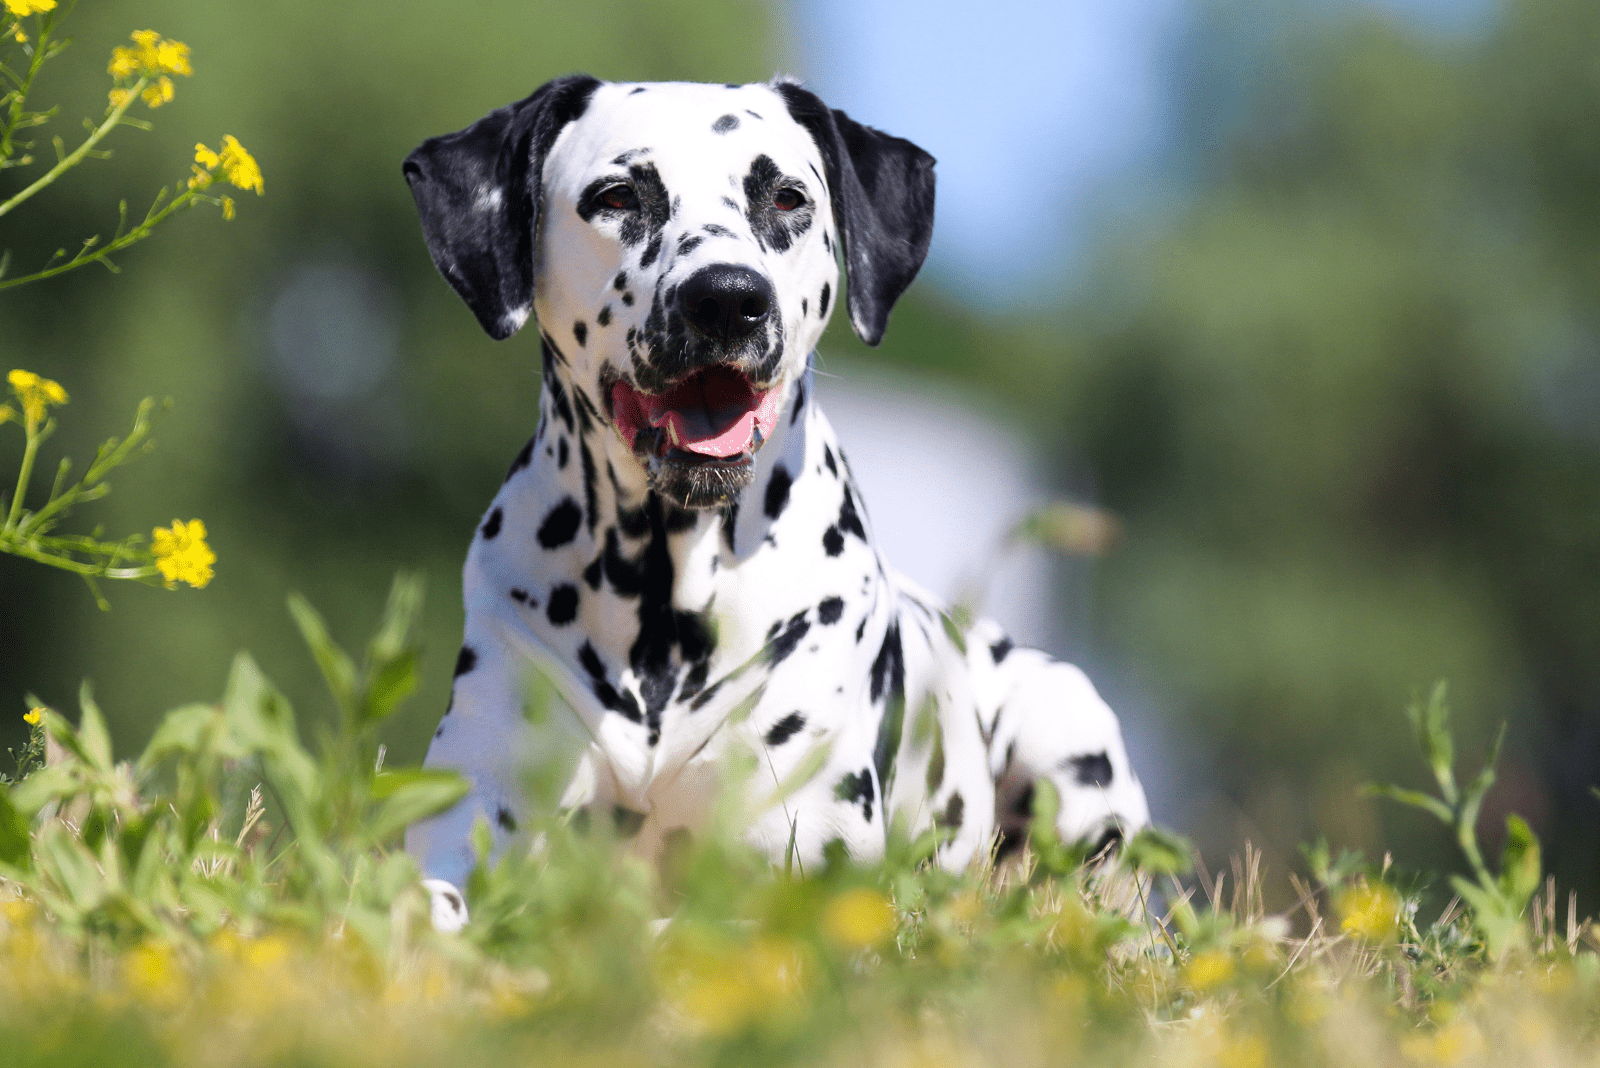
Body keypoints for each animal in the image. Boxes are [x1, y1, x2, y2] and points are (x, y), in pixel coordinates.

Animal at [400, 75, 1152, 927]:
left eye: (787, 197)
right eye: (619, 195)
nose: (727, 298)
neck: (664, 597)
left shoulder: (807, 860)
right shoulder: (475, 811)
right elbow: (428, 895)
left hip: (1063, 729)